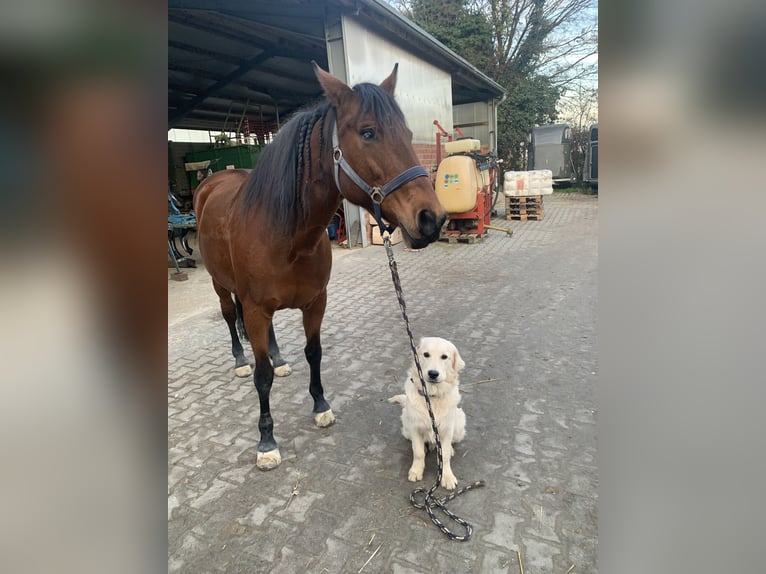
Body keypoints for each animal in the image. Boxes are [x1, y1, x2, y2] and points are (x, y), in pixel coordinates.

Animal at [193, 63, 447, 470]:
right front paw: (267, 441)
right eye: (368, 132)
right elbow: (262, 377)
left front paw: (320, 405)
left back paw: (279, 357)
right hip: (222, 286)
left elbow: (314, 353)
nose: (432, 219)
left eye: (408, 134)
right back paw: (239, 359)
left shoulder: (315, 302)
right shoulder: (256, 309)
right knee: (231, 317)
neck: (288, 235)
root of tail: (212, 180)